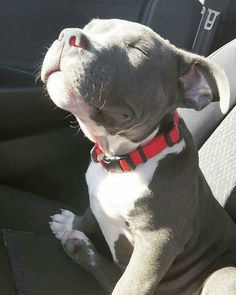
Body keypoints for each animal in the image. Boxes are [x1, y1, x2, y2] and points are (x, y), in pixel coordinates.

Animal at [41, 19, 236, 294]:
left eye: (139, 50)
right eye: (90, 27)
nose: (69, 35)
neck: (123, 160)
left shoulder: (158, 244)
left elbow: (129, 285)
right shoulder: (97, 196)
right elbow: (90, 214)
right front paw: (71, 225)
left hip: (224, 275)